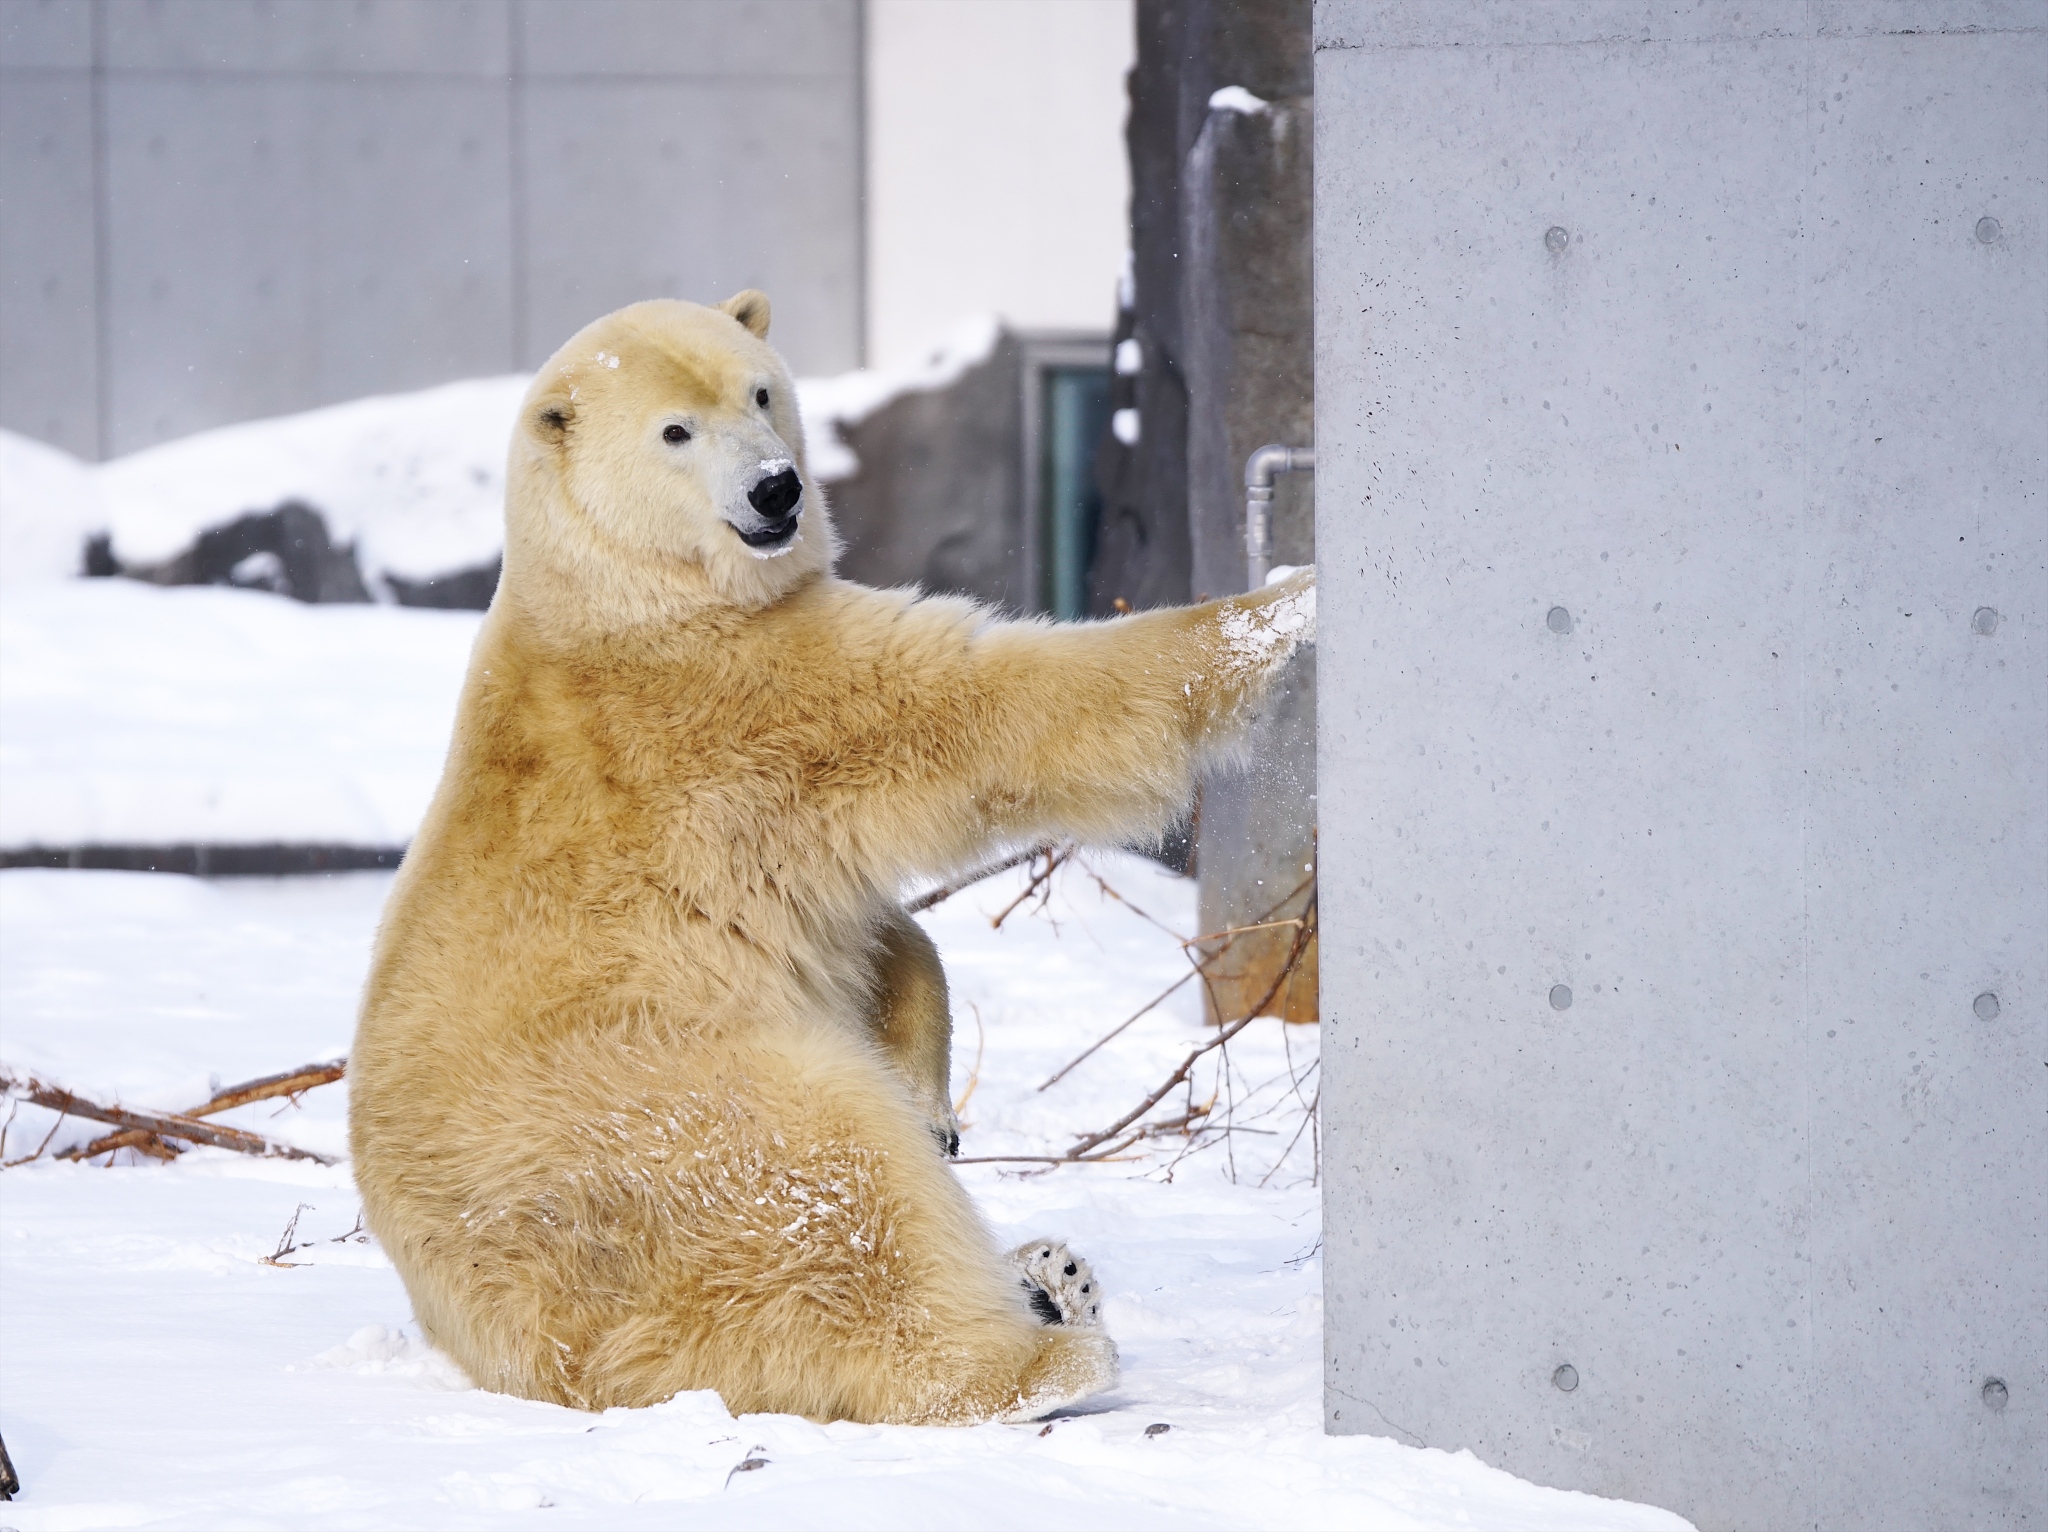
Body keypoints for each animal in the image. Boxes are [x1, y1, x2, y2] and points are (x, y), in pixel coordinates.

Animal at [347, 292, 1316, 1425]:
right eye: (675, 431)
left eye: (761, 392)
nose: (777, 488)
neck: (610, 591)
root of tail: (483, 1328)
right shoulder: (746, 689)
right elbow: (995, 708)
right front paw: (1292, 596)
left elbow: (876, 934)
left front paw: (935, 1097)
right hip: (649, 1106)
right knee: (830, 1184)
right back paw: (1037, 1359)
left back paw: (1050, 1272)